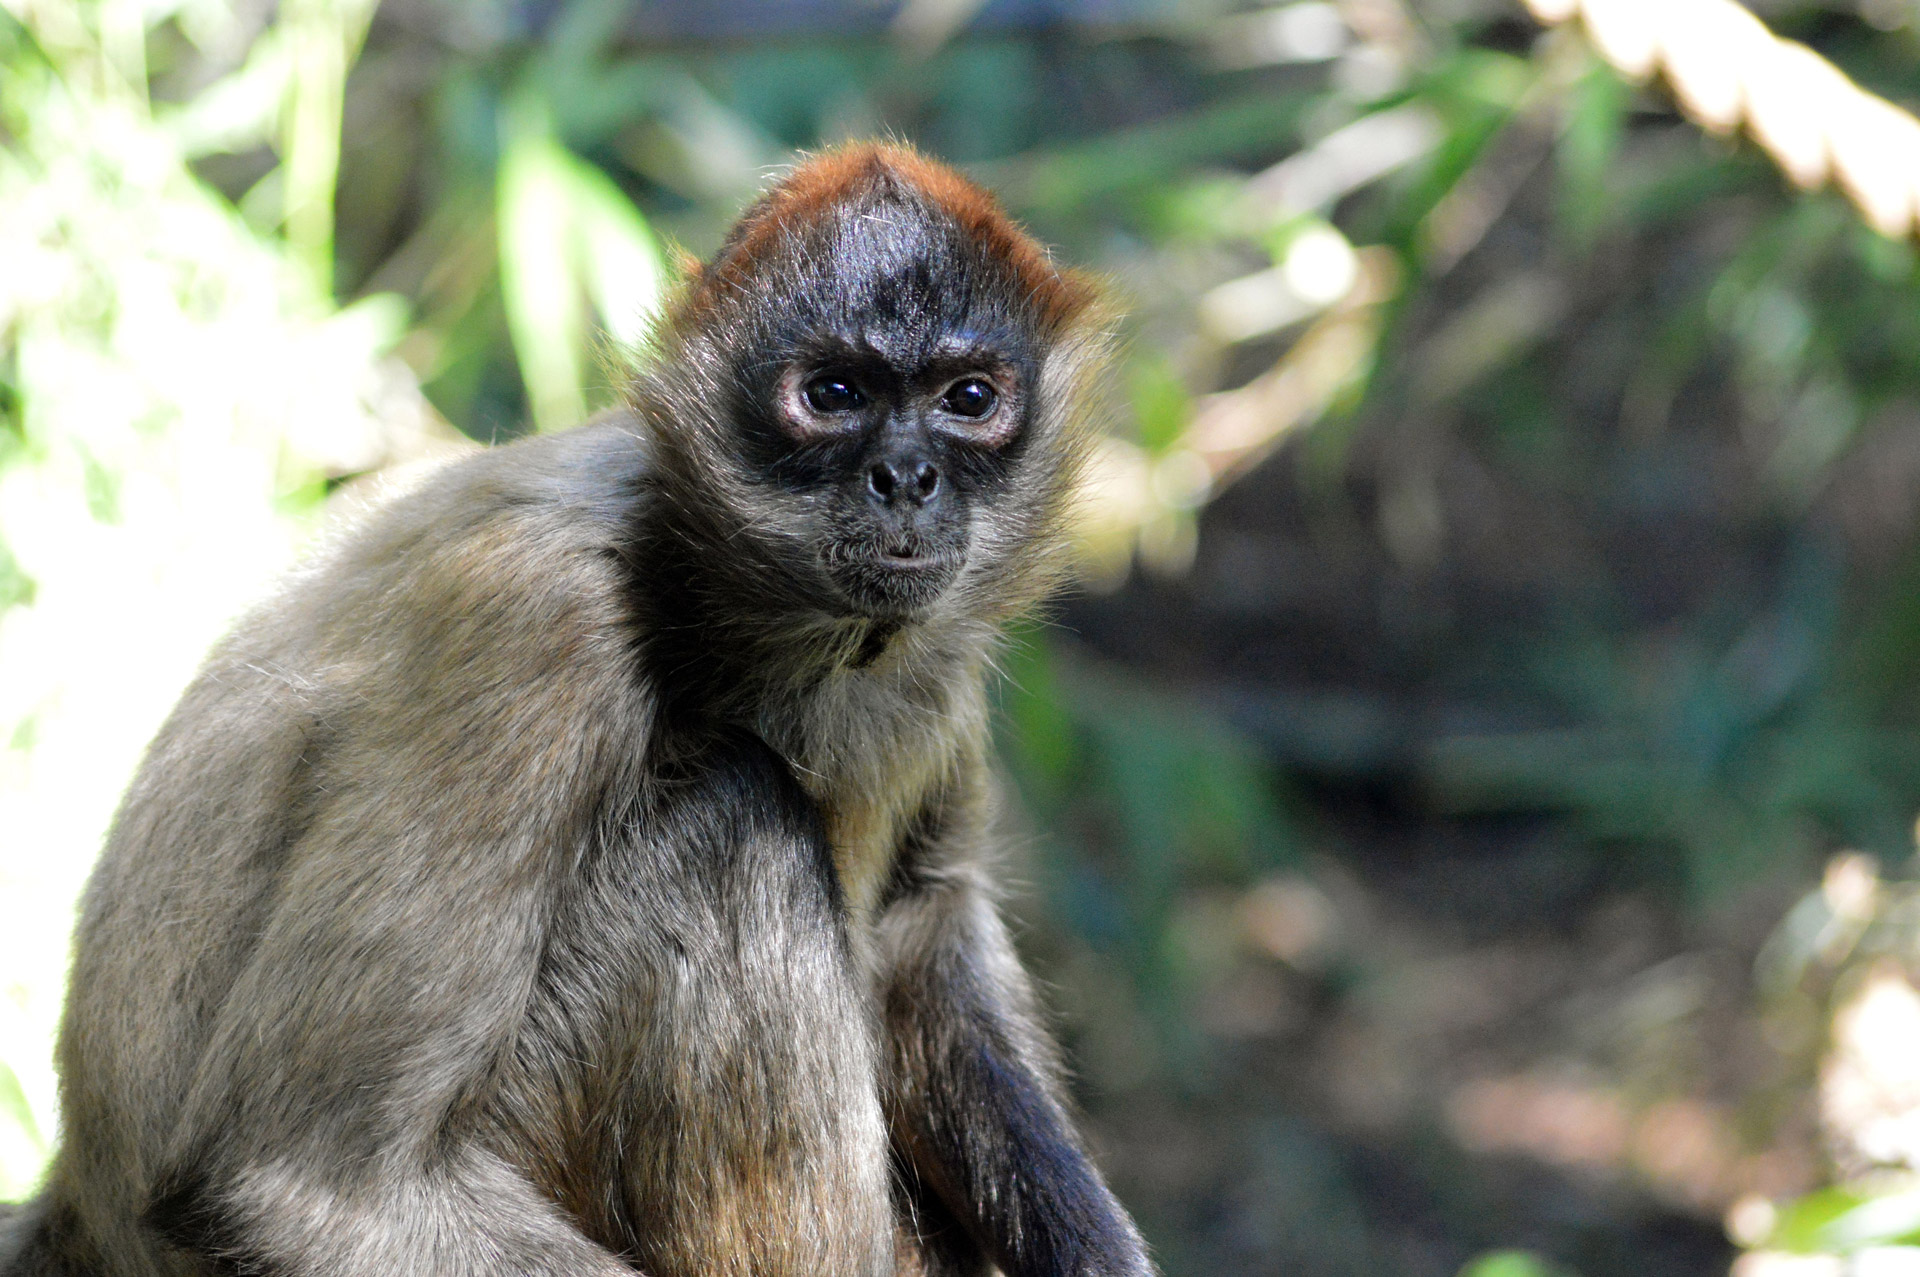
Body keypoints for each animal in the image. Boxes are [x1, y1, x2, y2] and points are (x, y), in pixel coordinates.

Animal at [0, 142, 1152, 1275]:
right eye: (832, 391)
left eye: (969, 397)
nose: (906, 475)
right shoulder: (538, 610)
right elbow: (314, 1184)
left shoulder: (936, 653)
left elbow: (923, 931)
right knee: (733, 816)